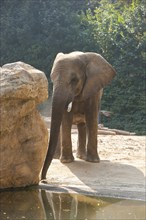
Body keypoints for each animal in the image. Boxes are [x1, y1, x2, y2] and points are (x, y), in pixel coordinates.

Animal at [41, 52, 116, 180]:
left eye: (74, 80)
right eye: (52, 80)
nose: (44, 179)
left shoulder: (94, 90)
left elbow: (91, 117)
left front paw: (93, 161)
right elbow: (66, 118)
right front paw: (66, 161)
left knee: (83, 125)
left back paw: (82, 157)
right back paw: (60, 157)